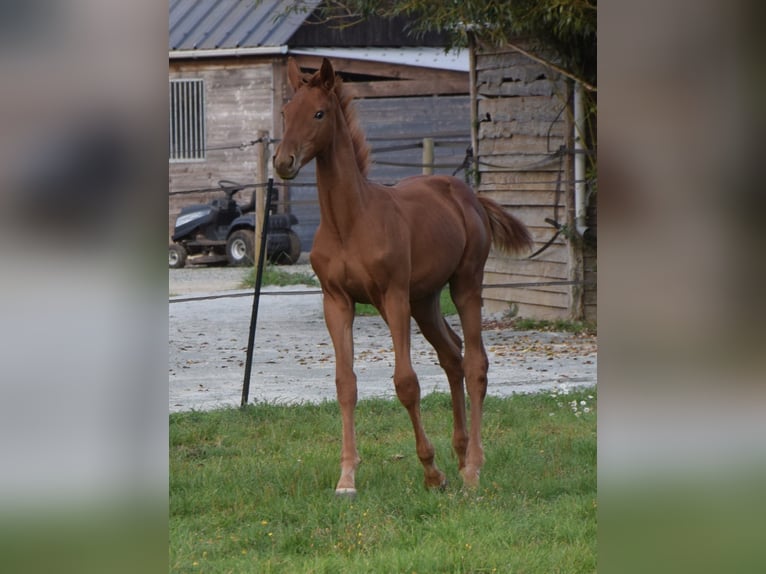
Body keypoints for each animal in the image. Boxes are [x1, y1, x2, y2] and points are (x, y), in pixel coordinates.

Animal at [273, 58, 532, 495]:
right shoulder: (336, 301)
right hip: (424, 300)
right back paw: (459, 453)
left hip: (464, 284)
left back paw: (472, 469)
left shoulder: (391, 297)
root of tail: (469, 196)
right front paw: (347, 478)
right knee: (452, 355)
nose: (282, 162)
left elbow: (406, 382)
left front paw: (431, 470)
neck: (350, 221)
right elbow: (345, 383)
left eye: (319, 113)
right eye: (285, 112)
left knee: (476, 362)